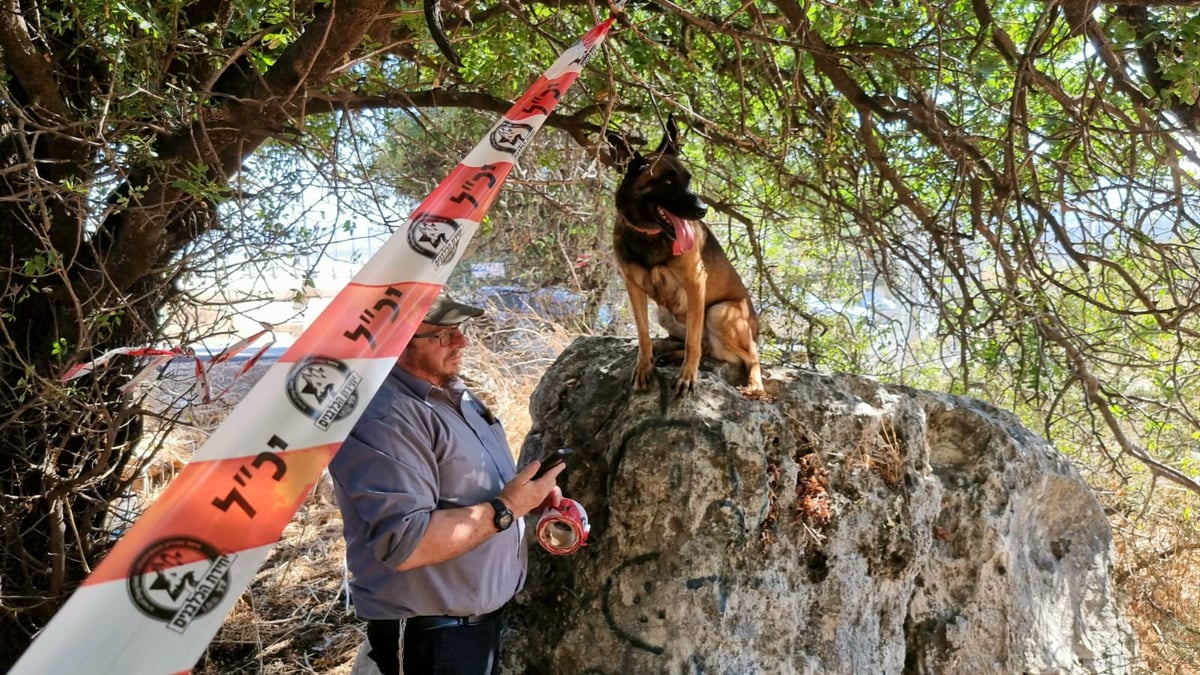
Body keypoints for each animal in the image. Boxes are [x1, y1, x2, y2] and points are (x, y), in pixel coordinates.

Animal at [609, 116, 768, 396]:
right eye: (667, 182)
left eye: (688, 179)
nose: (703, 209)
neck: (650, 235)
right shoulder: (633, 286)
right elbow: (643, 335)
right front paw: (644, 367)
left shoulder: (695, 283)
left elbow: (693, 341)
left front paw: (687, 377)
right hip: (665, 314)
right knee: (705, 346)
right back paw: (670, 353)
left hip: (719, 312)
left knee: (751, 356)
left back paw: (755, 385)